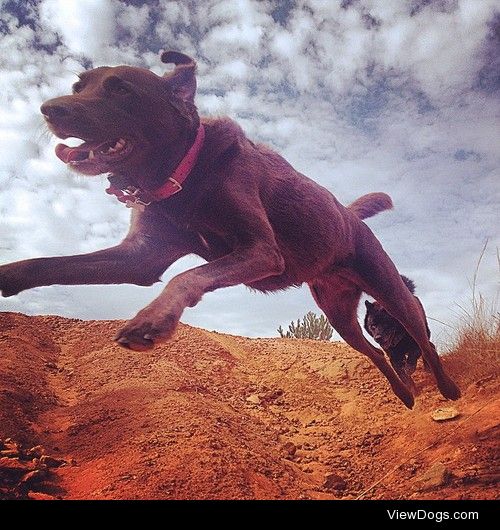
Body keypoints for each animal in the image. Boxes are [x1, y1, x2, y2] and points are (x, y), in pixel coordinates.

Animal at [0, 51, 460, 406]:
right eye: (78, 87)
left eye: (121, 90)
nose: (49, 109)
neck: (184, 173)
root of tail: (347, 217)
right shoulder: (139, 257)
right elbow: (48, 264)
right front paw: (7, 275)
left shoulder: (261, 251)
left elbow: (187, 276)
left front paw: (153, 320)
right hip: (341, 315)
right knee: (375, 354)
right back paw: (404, 395)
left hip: (390, 291)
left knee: (422, 340)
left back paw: (448, 388)